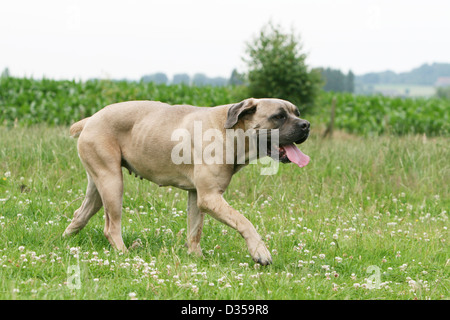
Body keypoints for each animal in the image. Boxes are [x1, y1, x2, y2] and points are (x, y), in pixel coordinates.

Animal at [63, 98, 310, 264]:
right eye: (279, 116)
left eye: (296, 112)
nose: (306, 124)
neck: (231, 132)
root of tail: (91, 119)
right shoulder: (210, 198)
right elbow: (244, 221)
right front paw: (260, 251)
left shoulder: (198, 196)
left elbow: (195, 230)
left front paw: (195, 256)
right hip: (112, 184)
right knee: (111, 227)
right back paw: (124, 253)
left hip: (100, 185)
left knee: (80, 215)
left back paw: (66, 241)